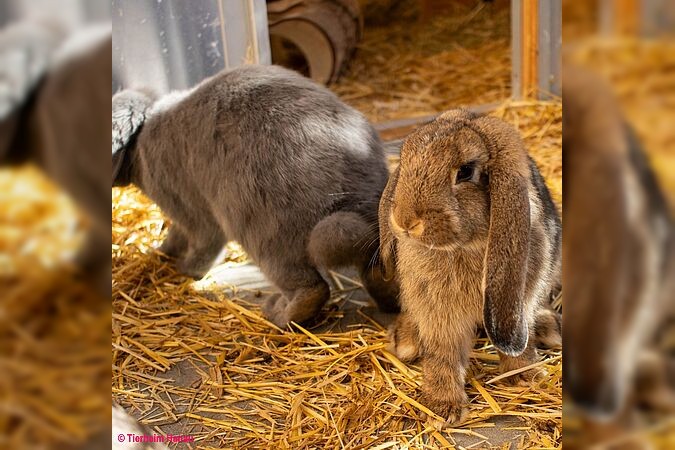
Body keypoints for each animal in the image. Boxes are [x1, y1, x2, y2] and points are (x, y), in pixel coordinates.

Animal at [113, 65, 398, 326]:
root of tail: (348, 191)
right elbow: (175, 237)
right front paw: (161, 252)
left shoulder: (191, 213)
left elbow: (200, 245)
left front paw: (185, 270)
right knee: (373, 270)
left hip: (264, 235)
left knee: (311, 289)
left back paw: (278, 313)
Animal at [378, 108, 564, 426]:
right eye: (405, 159)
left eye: (465, 171)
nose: (406, 221)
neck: (463, 248)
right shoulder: (438, 313)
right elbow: (443, 354)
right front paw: (442, 407)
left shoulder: (519, 299)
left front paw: (525, 377)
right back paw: (406, 342)